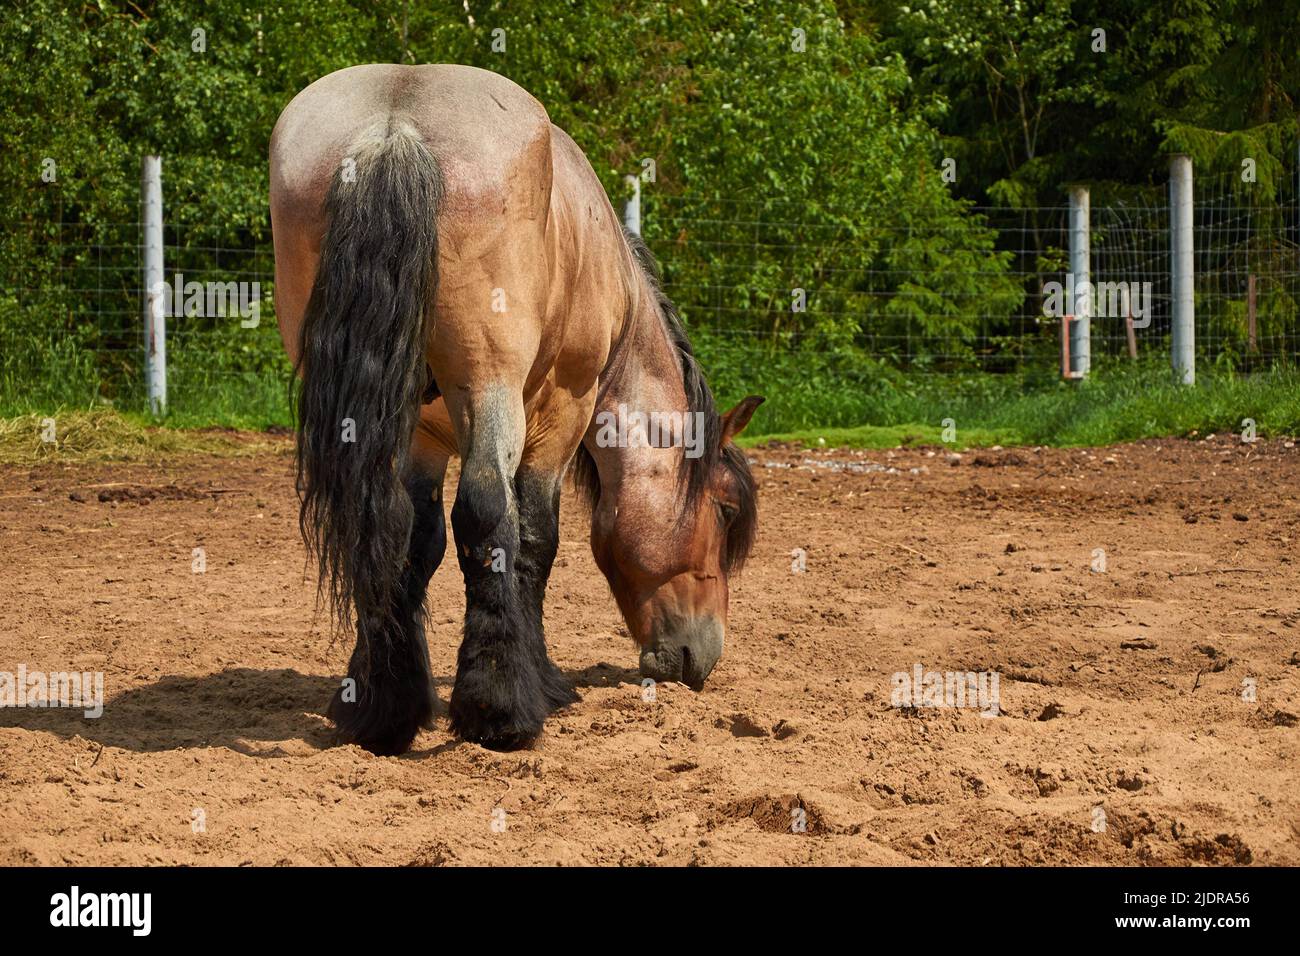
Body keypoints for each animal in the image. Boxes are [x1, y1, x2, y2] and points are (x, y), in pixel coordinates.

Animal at [269, 64, 762, 755]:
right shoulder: (563, 410)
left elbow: (418, 540)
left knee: (381, 519)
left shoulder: (424, 434)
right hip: (491, 384)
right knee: (484, 513)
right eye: (724, 510)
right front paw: (541, 684)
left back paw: (383, 710)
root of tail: (395, 126)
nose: (703, 656)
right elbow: (532, 538)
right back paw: (500, 711)